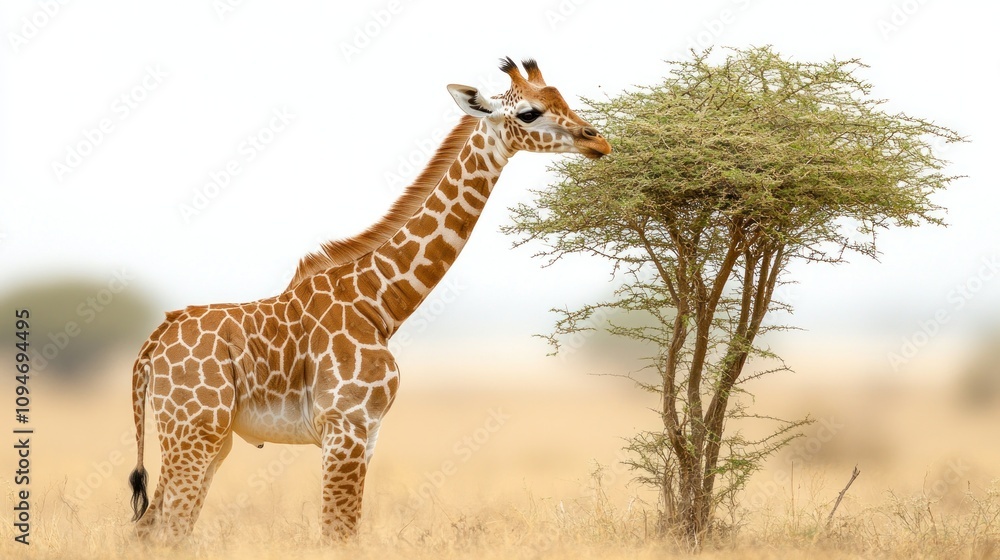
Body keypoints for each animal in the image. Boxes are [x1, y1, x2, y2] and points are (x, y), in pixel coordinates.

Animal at [128, 57, 611, 543]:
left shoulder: (368, 433)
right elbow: (337, 534)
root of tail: (151, 345)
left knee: (149, 530)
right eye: (529, 113)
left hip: (210, 438)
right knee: (169, 529)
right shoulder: (345, 427)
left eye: (562, 98)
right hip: (194, 432)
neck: (378, 303)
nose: (599, 140)